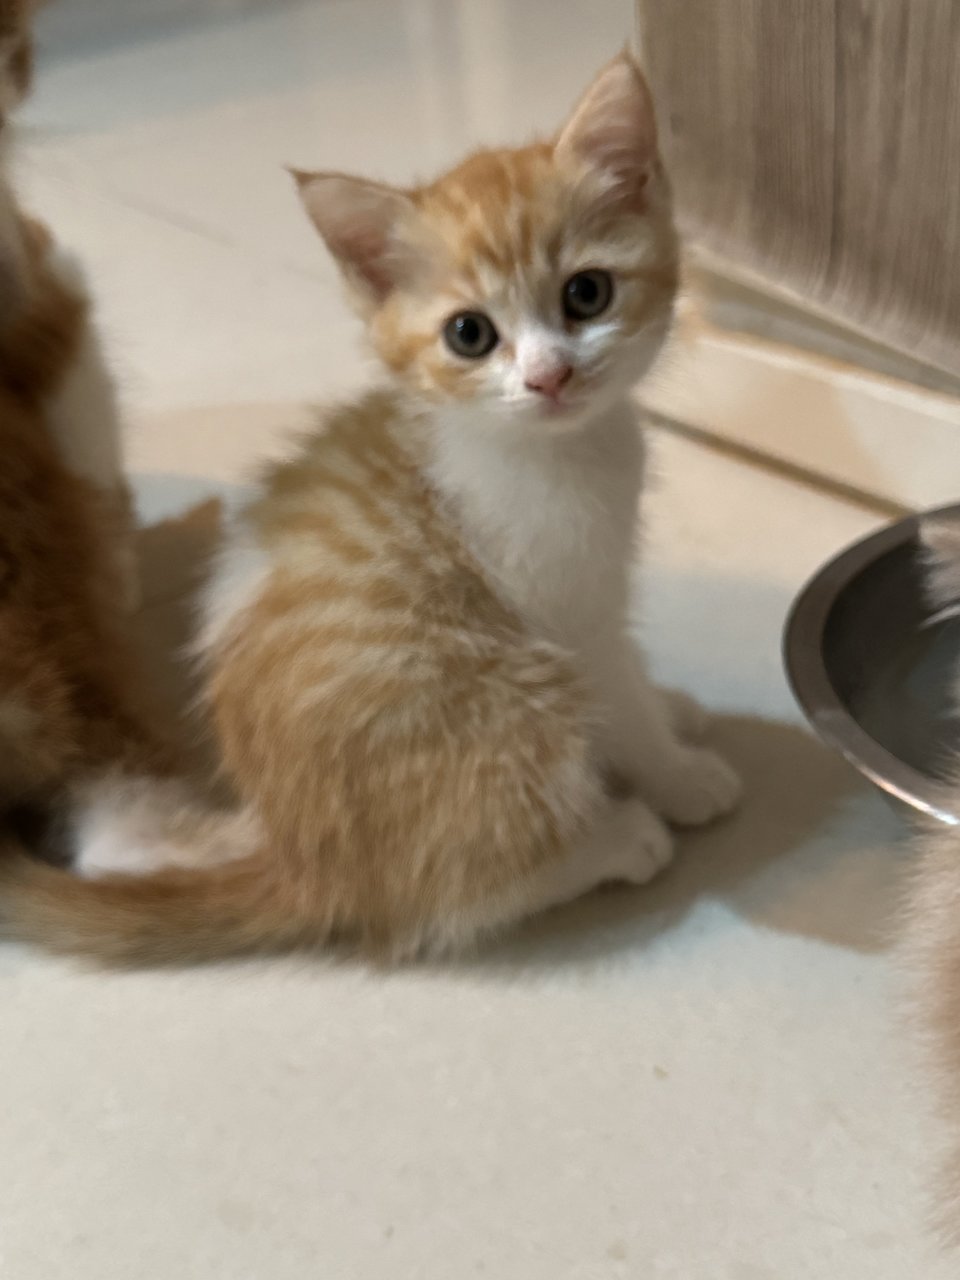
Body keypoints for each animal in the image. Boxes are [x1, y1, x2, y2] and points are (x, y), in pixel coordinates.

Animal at [0, 55, 742, 962]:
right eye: (469, 335)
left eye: (588, 293)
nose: (549, 377)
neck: (556, 450)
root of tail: (302, 861)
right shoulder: (563, 611)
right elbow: (615, 696)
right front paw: (675, 773)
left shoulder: (602, 590)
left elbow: (630, 673)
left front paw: (669, 710)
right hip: (499, 707)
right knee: (443, 901)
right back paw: (613, 843)